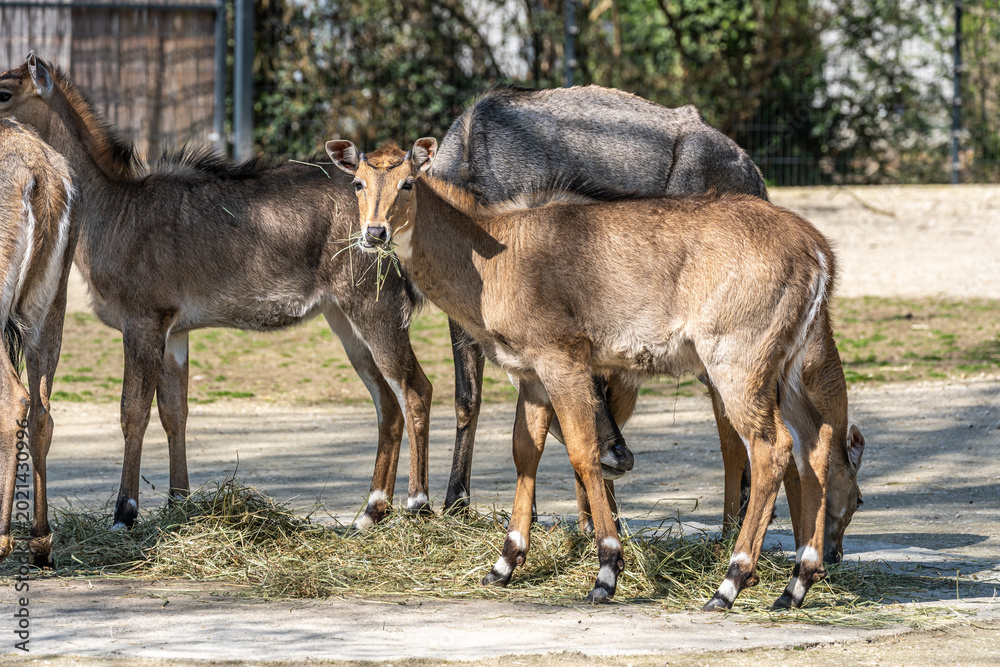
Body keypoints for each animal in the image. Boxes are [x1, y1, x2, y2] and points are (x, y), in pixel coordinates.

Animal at [0, 53, 434, 557]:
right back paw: (370, 512)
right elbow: (175, 412)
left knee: (415, 389)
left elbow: (133, 411)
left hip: (374, 307)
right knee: (387, 401)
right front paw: (179, 502)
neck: (115, 206)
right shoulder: (175, 331)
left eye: (5, 91)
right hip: (344, 319)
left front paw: (125, 514)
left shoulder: (144, 320)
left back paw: (418, 505)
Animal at [329, 136, 861, 609]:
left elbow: (584, 452)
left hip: (737, 365)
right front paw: (505, 562)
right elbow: (525, 452)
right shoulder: (531, 375)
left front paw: (607, 570)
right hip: (787, 368)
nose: (374, 233)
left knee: (772, 449)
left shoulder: (562, 359)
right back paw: (796, 583)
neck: (496, 252)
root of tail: (817, 250)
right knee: (816, 444)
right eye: (357, 183)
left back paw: (730, 582)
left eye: (407, 183)